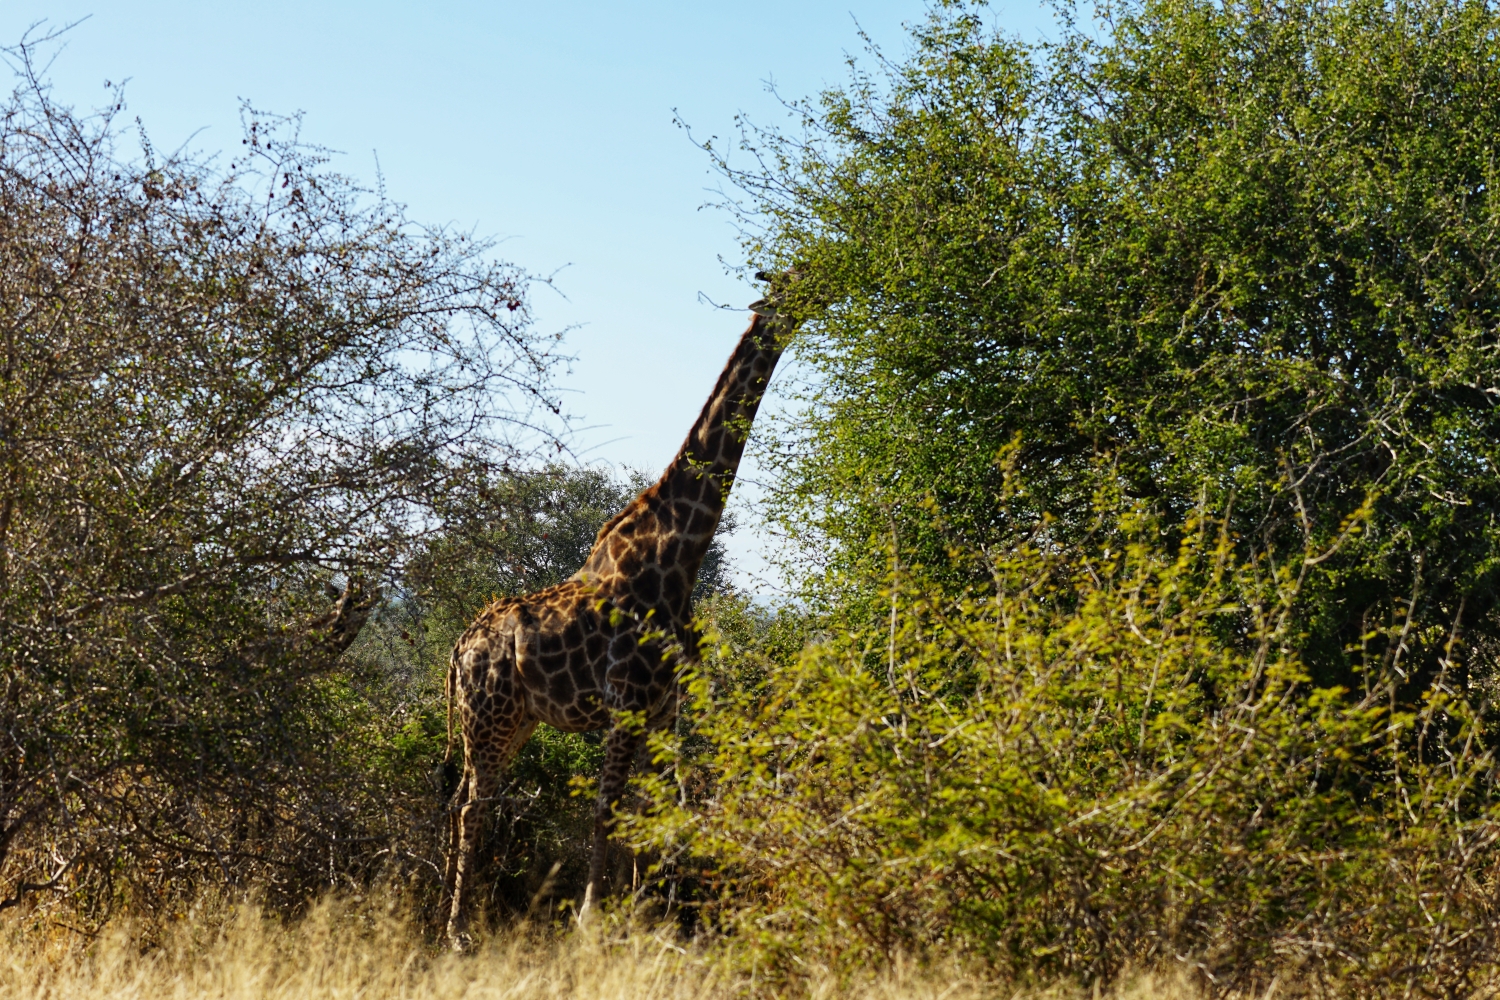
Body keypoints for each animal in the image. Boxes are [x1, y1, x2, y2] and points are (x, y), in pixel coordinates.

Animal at [441, 280, 798, 947]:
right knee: (473, 806)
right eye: (794, 282)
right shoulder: (627, 702)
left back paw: (461, 915)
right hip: (488, 716)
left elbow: (667, 812)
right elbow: (606, 812)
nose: (827, 289)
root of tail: (457, 648)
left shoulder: (665, 708)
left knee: (468, 802)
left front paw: (662, 922)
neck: (680, 555)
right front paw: (591, 922)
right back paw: (457, 931)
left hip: (516, 720)